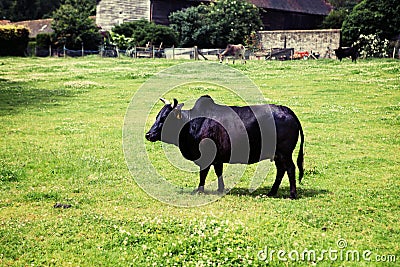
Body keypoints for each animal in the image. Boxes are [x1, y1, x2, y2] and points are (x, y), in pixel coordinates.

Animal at [145, 96, 304, 199]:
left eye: (165, 118)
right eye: (157, 117)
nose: (148, 134)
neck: (191, 124)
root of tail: (286, 110)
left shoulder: (206, 157)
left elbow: (203, 174)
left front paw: (199, 190)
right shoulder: (217, 158)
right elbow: (218, 172)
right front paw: (220, 189)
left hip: (285, 153)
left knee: (290, 169)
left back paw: (292, 194)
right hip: (278, 155)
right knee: (281, 170)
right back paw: (272, 192)